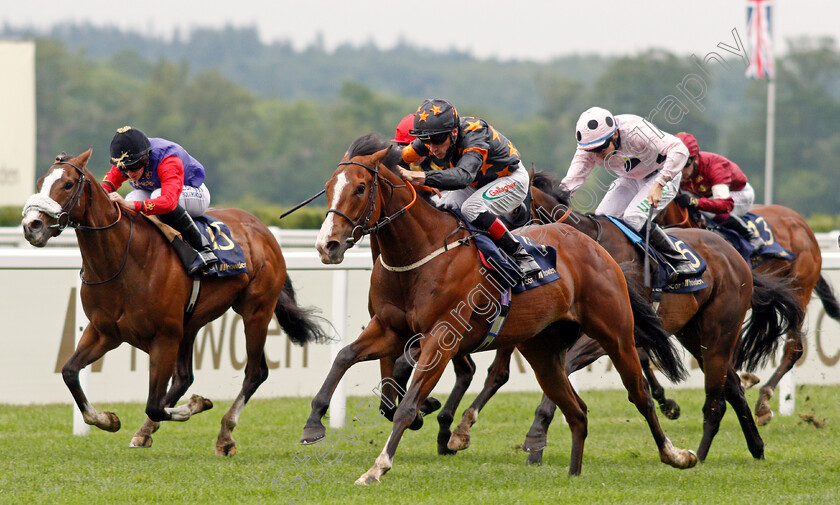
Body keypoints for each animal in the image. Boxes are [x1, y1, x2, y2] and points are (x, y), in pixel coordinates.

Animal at [21, 150, 326, 452]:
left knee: (255, 372)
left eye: (68, 184)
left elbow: (154, 404)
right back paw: (145, 431)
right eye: (40, 182)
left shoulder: (163, 337)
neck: (123, 260)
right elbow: (70, 372)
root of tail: (263, 230)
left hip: (256, 311)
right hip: (190, 324)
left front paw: (196, 404)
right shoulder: (104, 331)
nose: (31, 226)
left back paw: (225, 433)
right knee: (184, 377)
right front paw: (108, 420)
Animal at [302, 134, 696, 480]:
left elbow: (408, 401)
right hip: (543, 351)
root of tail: (598, 248)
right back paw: (572, 472)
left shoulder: (441, 337)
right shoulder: (389, 328)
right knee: (577, 411)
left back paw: (676, 454)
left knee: (639, 394)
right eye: (329, 186)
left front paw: (378, 466)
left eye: (360, 188)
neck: (420, 255)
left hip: (614, 334)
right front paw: (313, 424)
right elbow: (345, 358)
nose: (327, 245)